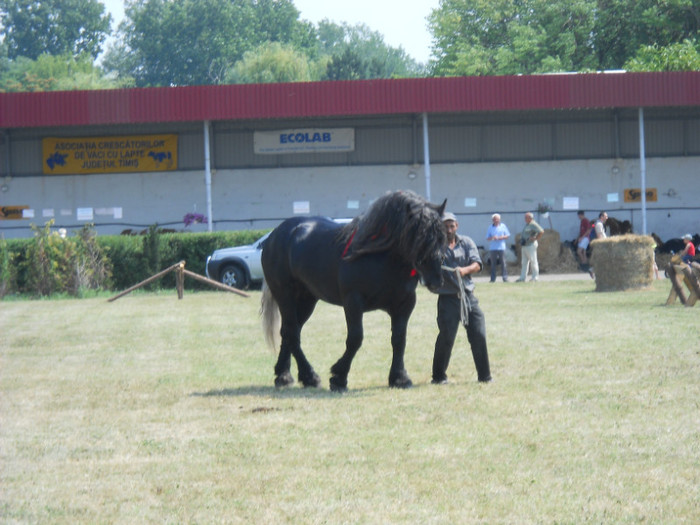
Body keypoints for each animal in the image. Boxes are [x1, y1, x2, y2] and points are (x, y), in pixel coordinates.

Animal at [260, 190, 446, 390]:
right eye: (417, 236)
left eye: (441, 237)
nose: (436, 278)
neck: (380, 257)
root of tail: (275, 235)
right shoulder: (353, 302)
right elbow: (355, 338)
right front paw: (339, 377)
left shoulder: (405, 304)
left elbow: (399, 339)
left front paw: (399, 377)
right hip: (284, 296)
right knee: (292, 333)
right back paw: (308, 376)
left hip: (306, 300)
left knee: (288, 332)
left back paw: (283, 374)